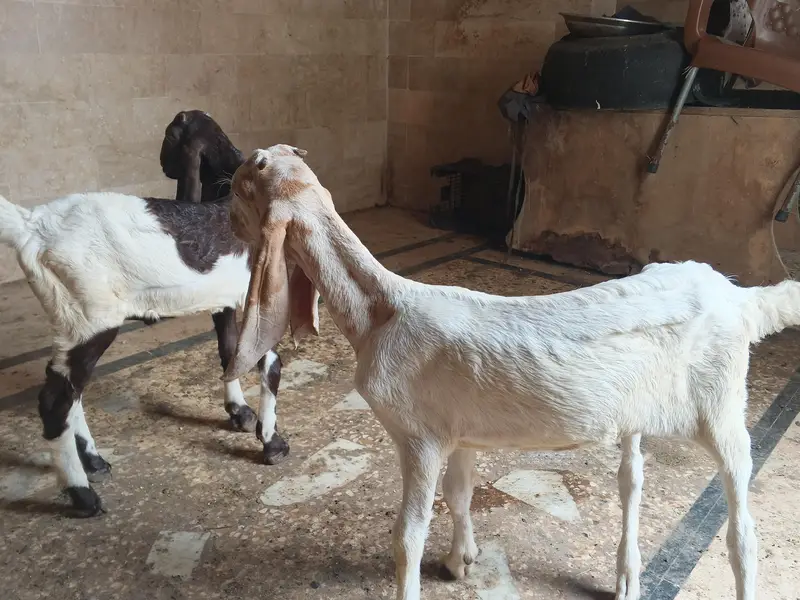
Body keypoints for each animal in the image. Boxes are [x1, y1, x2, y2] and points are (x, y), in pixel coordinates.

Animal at [0, 191, 291, 517]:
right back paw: (83, 496)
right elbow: (270, 362)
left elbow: (231, 352)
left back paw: (94, 462)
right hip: (90, 318)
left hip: (72, 319)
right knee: (56, 400)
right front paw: (272, 443)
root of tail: (30, 224)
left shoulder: (227, 300)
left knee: (71, 391)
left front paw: (241, 413)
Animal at [223, 144, 800, 600]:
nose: (224, 222)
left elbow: (408, 536)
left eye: (242, 185)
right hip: (636, 409)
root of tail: (738, 296)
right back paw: (627, 575)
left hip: (722, 407)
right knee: (632, 479)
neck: (380, 312)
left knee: (743, 532)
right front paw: (461, 560)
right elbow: (459, 492)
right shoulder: (457, 431)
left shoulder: (419, 437)